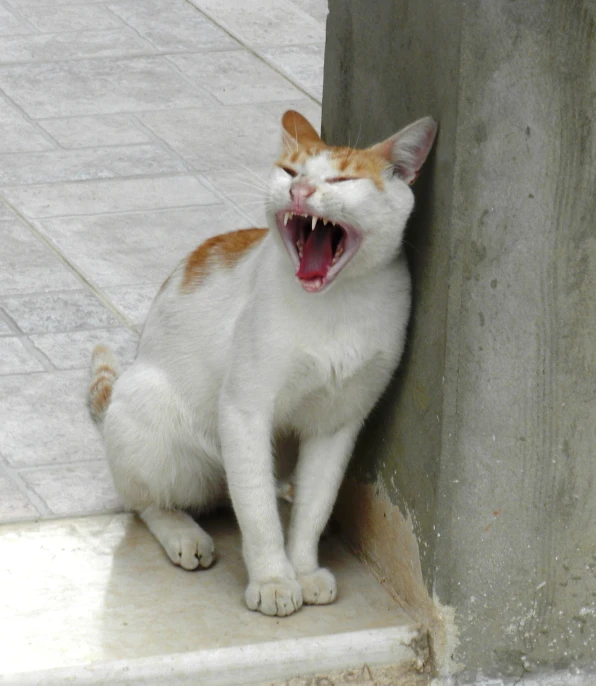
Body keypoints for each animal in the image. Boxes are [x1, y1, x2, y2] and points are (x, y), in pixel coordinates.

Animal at [91, 111, 438, 620]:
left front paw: (304, 568)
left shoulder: (340, 422)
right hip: (149, 409)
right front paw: (274, 580)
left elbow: (317, 503)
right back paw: (184, 534)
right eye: (291, 172)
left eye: (342, 179)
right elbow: (255, 512)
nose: (300, 191)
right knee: (152, 501)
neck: (336, 307)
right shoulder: (244, 410)